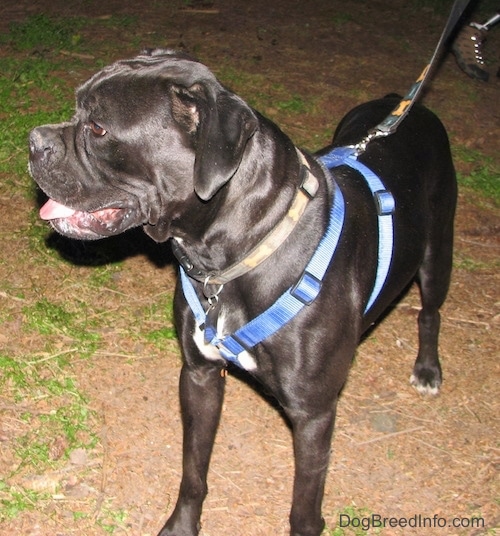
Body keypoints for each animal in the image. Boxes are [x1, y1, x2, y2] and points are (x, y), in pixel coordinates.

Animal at [28, 48, 458, 532]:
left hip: (436, 256)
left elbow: (303, 508)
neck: (237, 254)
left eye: (99, 128)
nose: (33, 141)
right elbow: (193, 470)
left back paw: (427, 369)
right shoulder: (198, 376)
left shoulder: (313, 415)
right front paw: (182, 524)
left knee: (430, 312)